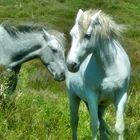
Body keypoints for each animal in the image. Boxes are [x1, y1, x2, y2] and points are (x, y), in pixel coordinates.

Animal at [66, 9, 131, 139]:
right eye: (71, 34)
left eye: (87, 35)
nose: (71, 65)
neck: (109, 68)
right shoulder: (92, 96)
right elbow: (94, 126)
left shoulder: (122, 95)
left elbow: (119, 127)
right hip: (73, 97)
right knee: (74, 122)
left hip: (102, 105)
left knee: (102, 126)